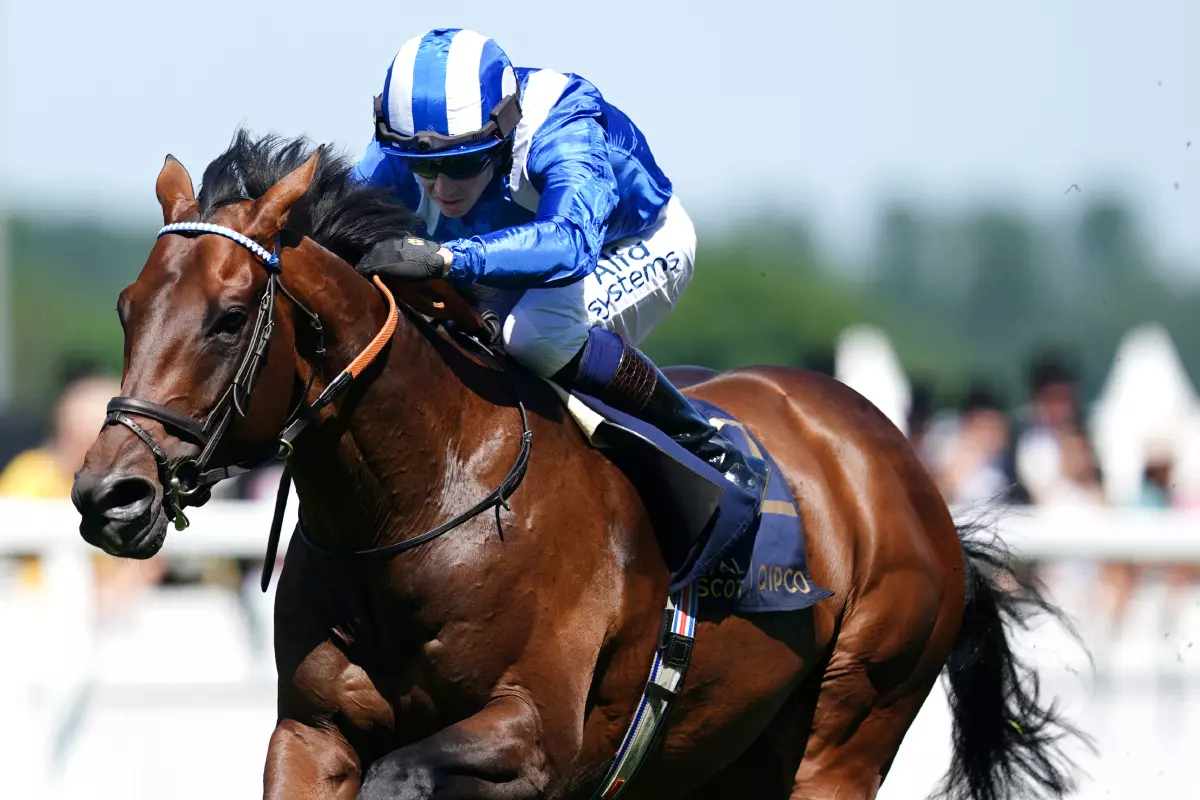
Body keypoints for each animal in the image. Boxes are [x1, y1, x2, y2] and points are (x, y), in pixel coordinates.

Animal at [71, 130, 1086, 800]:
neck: (421, 506)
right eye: (126, 306)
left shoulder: (536, 737)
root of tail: (903, 471)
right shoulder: (311, 734)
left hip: (848, 730)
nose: (108, 494)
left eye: (230, 317)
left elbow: (404, 776)